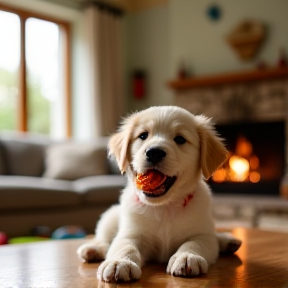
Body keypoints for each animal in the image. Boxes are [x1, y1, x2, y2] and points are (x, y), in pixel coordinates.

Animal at [76, 105, 241, 282]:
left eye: (180, 139)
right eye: (143, 135)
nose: (154, 152)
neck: (164, 207)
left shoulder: (202, 234)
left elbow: (194, 243)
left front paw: (187, 257)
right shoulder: (130, 234)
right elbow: (125, 246)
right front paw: (120, 262)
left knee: (214, 235)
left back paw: (227, 240)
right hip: (109, 216)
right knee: (104, 239)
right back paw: (92, 249)